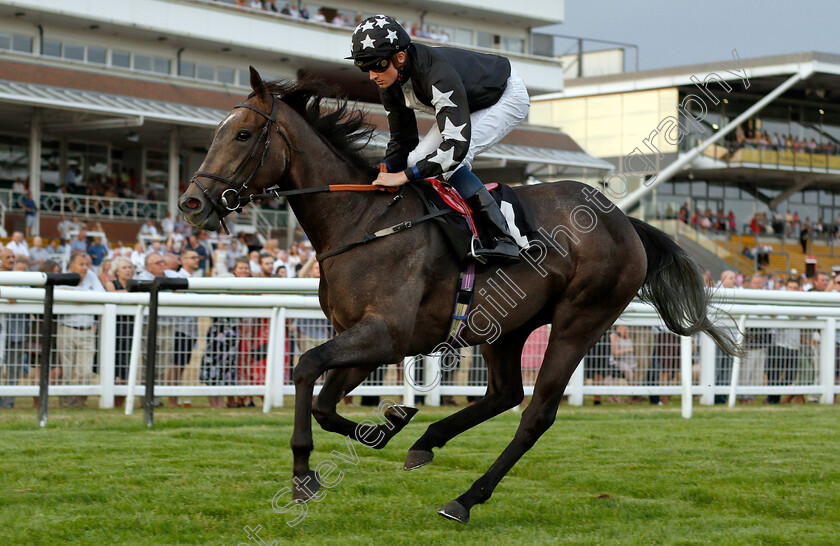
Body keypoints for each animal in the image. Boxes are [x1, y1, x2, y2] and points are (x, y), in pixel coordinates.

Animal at [176, 68, 736, 524]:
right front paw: (386, 427)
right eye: (216, 134)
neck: (362, 223)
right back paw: (427, 442)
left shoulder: (385, 333)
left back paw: (466, 499)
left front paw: (302, 477)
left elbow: (305, 368)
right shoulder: (366, 338)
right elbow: (325, 403)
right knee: (504, 394)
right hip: (505, 326)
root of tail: (624, 220)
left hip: (580, 321)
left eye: (243, 134)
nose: (191, 203)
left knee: (535, 414)